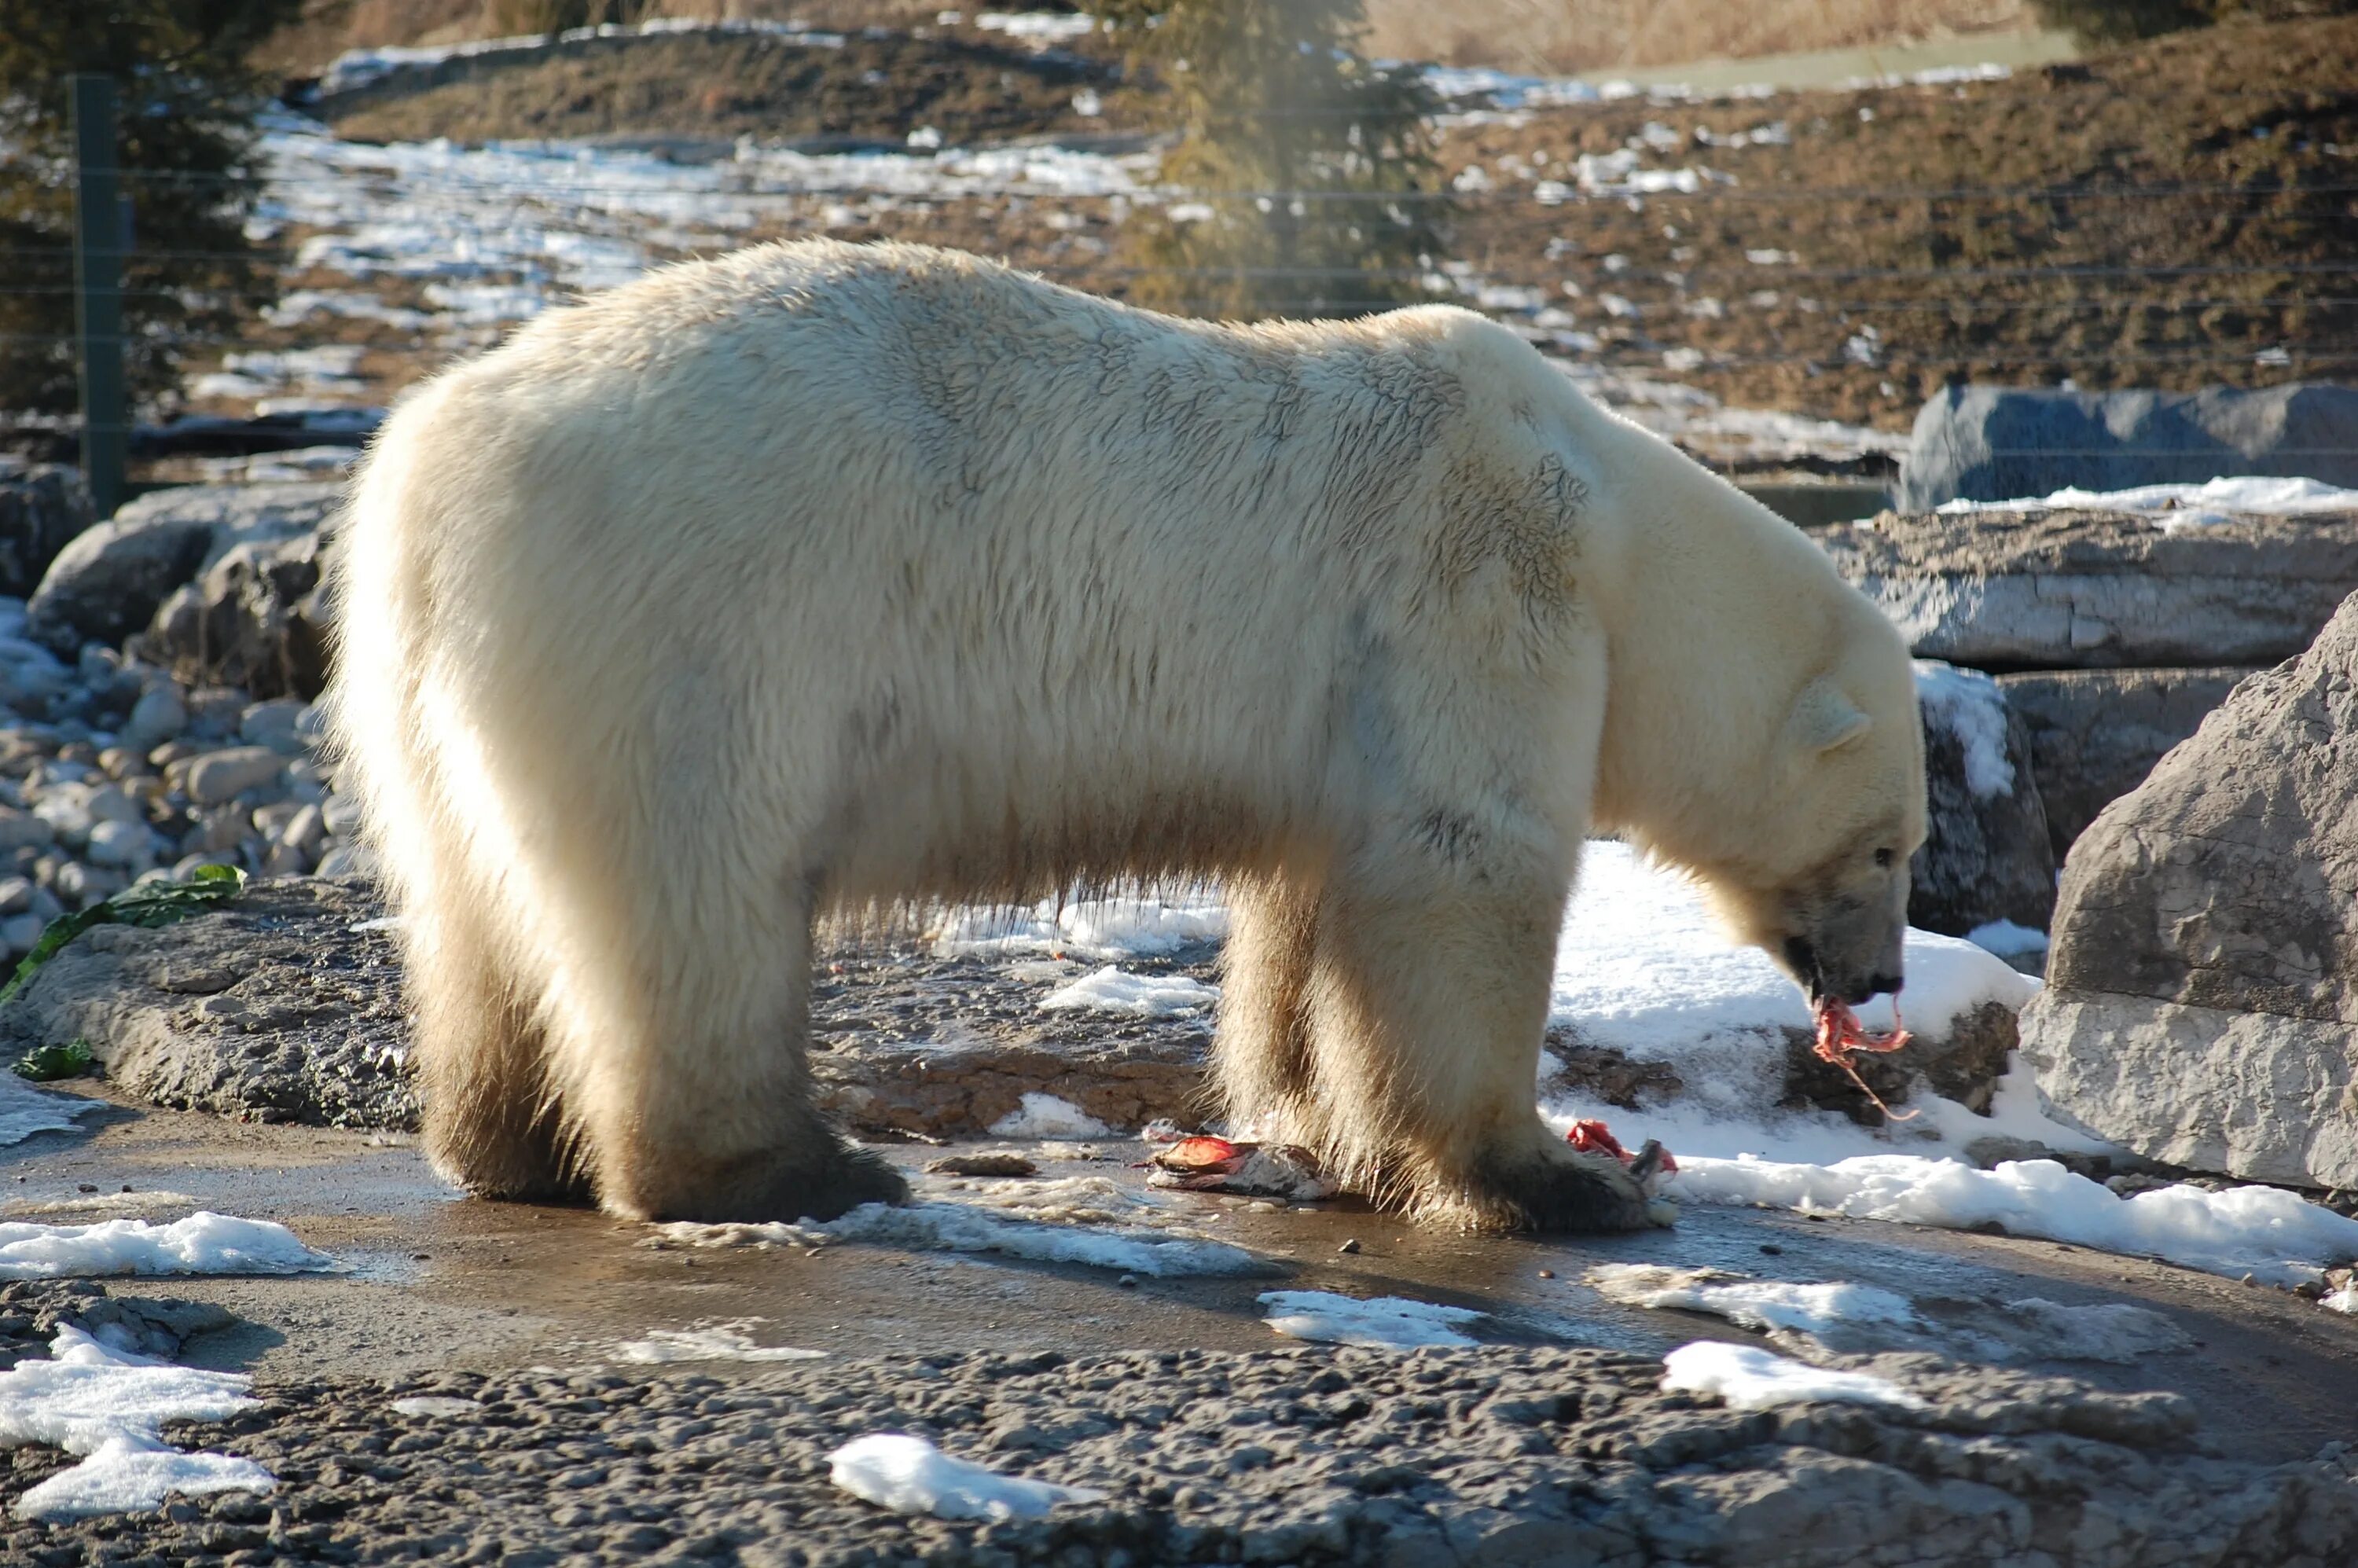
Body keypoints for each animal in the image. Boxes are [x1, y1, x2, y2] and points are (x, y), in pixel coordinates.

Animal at [328, 238, 1915, 1226]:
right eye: (1896, 847)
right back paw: (791, 1170)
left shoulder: (1354, 709)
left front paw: (1307, 1121)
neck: (1620, 538)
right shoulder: (1479, 590)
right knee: (696, 886)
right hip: (697, 613)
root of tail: (428, 470)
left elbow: (1312, 908)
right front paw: (1557, 1180)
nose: (1884, 981)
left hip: (430, 687)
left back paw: (508, 1148)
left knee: (477, 907)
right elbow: (1463, 867)